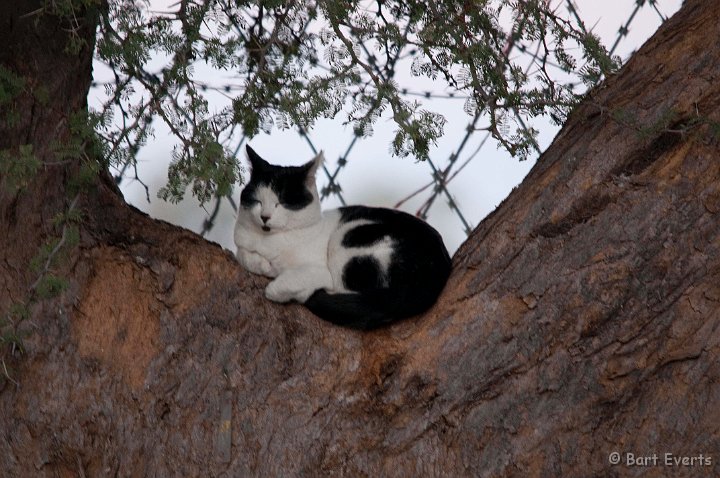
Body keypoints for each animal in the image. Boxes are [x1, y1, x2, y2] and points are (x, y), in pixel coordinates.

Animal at [235, 146, 450, 330]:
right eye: (257, 201)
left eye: (281, 202)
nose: (265, 216)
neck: (270, 241)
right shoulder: (241, 243)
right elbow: (243, 255)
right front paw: (261, 263)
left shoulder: (321, 271)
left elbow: (296, 278)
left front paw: (276, 287)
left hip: (347, 240)